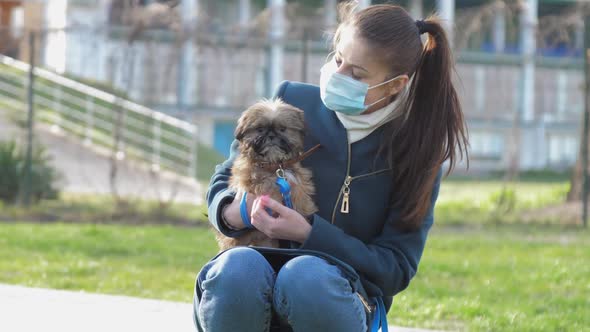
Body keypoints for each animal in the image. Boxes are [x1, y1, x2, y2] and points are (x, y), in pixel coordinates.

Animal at [216, 99, 320, 252]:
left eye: (283, 129)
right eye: (260, 129)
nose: (271, 136)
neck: (275, 166)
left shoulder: (297, 178)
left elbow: (300, 192)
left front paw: (303, 211)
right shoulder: (250, 178)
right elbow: (265, 186)